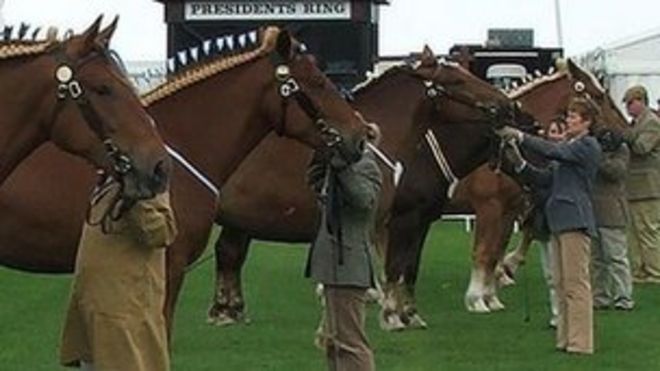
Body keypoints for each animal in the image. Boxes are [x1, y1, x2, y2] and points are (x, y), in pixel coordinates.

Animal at [201, 49, 532, 328]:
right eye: (457, 80)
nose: (510, 105)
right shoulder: (393, 220)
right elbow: (393, 266)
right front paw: (392, 315)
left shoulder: (414, 221)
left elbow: (408, 266)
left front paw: (409, 313)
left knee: (229, 253)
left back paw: (228, 310)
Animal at [446, 58, 628, 314]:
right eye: (598, 96)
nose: (622, 133)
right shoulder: (488, 208)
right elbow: (483, 253)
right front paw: (476, 299)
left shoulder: (509, 210)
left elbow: (496, 253)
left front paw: (491, 296)